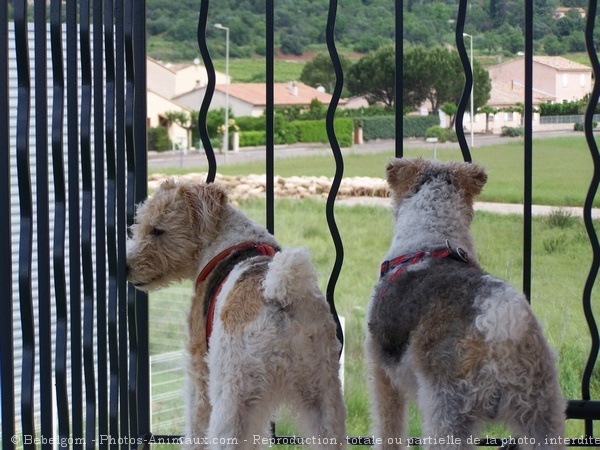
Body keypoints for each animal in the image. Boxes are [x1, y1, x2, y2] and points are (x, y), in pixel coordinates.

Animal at [126, 180, 346, 450]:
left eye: (157, 230)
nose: (124, 267)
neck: (223, 241)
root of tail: (278, 294)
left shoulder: (199, 368)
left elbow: (195, 426)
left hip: (234, 396)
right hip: (322, 395)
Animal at [366, 157, 568, 446]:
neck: (430, 238)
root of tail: (500, 322)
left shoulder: (382, 374)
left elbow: (388, 429)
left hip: (449, 411)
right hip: (541, 410)